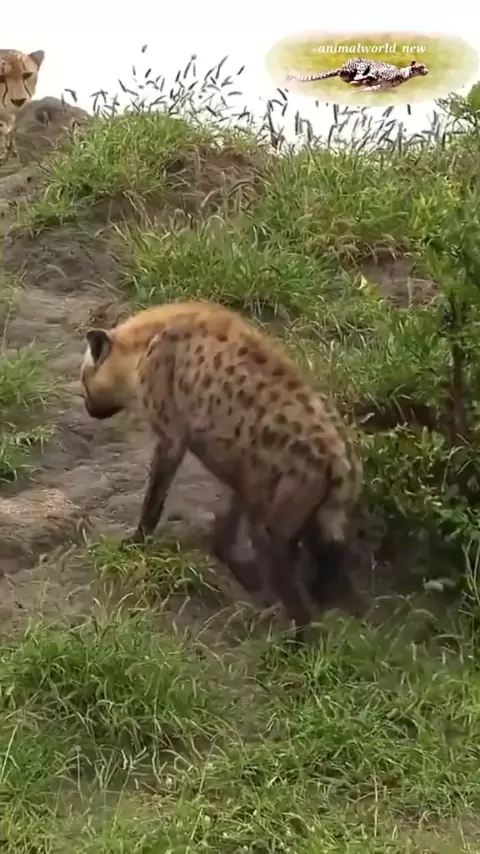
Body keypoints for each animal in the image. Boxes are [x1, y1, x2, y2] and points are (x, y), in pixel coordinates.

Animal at [80, 300, 364, 643]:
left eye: (83, 382)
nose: (88, 410)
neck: (143, 346)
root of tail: (339, 460)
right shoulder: (245, 470)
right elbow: (227, 521)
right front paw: (237, 567)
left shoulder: (172, 431)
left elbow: (155, 495)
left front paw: (135, 542)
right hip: (322, 512)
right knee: (327, 565)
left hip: (284, 506)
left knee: (287, 575)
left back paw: (295, 641)